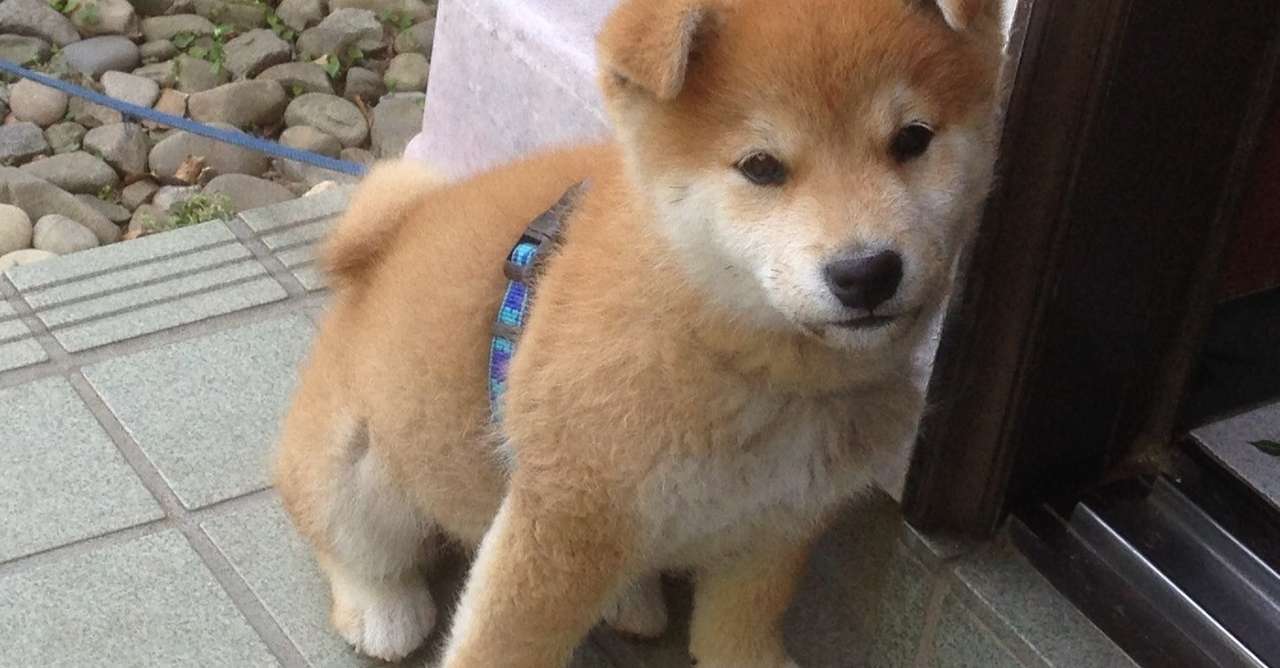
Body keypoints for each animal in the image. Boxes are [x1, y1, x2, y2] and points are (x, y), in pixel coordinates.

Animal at [274, 1, 1005, 666]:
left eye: (912, 140)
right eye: (762, 167)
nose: (866, 271)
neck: (736, 358)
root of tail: (375, 257)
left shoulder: (779, 522)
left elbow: (739, 628)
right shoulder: (564, 519)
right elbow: (505, 644)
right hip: (352, 466)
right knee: (352, 544)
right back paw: (383, 608)